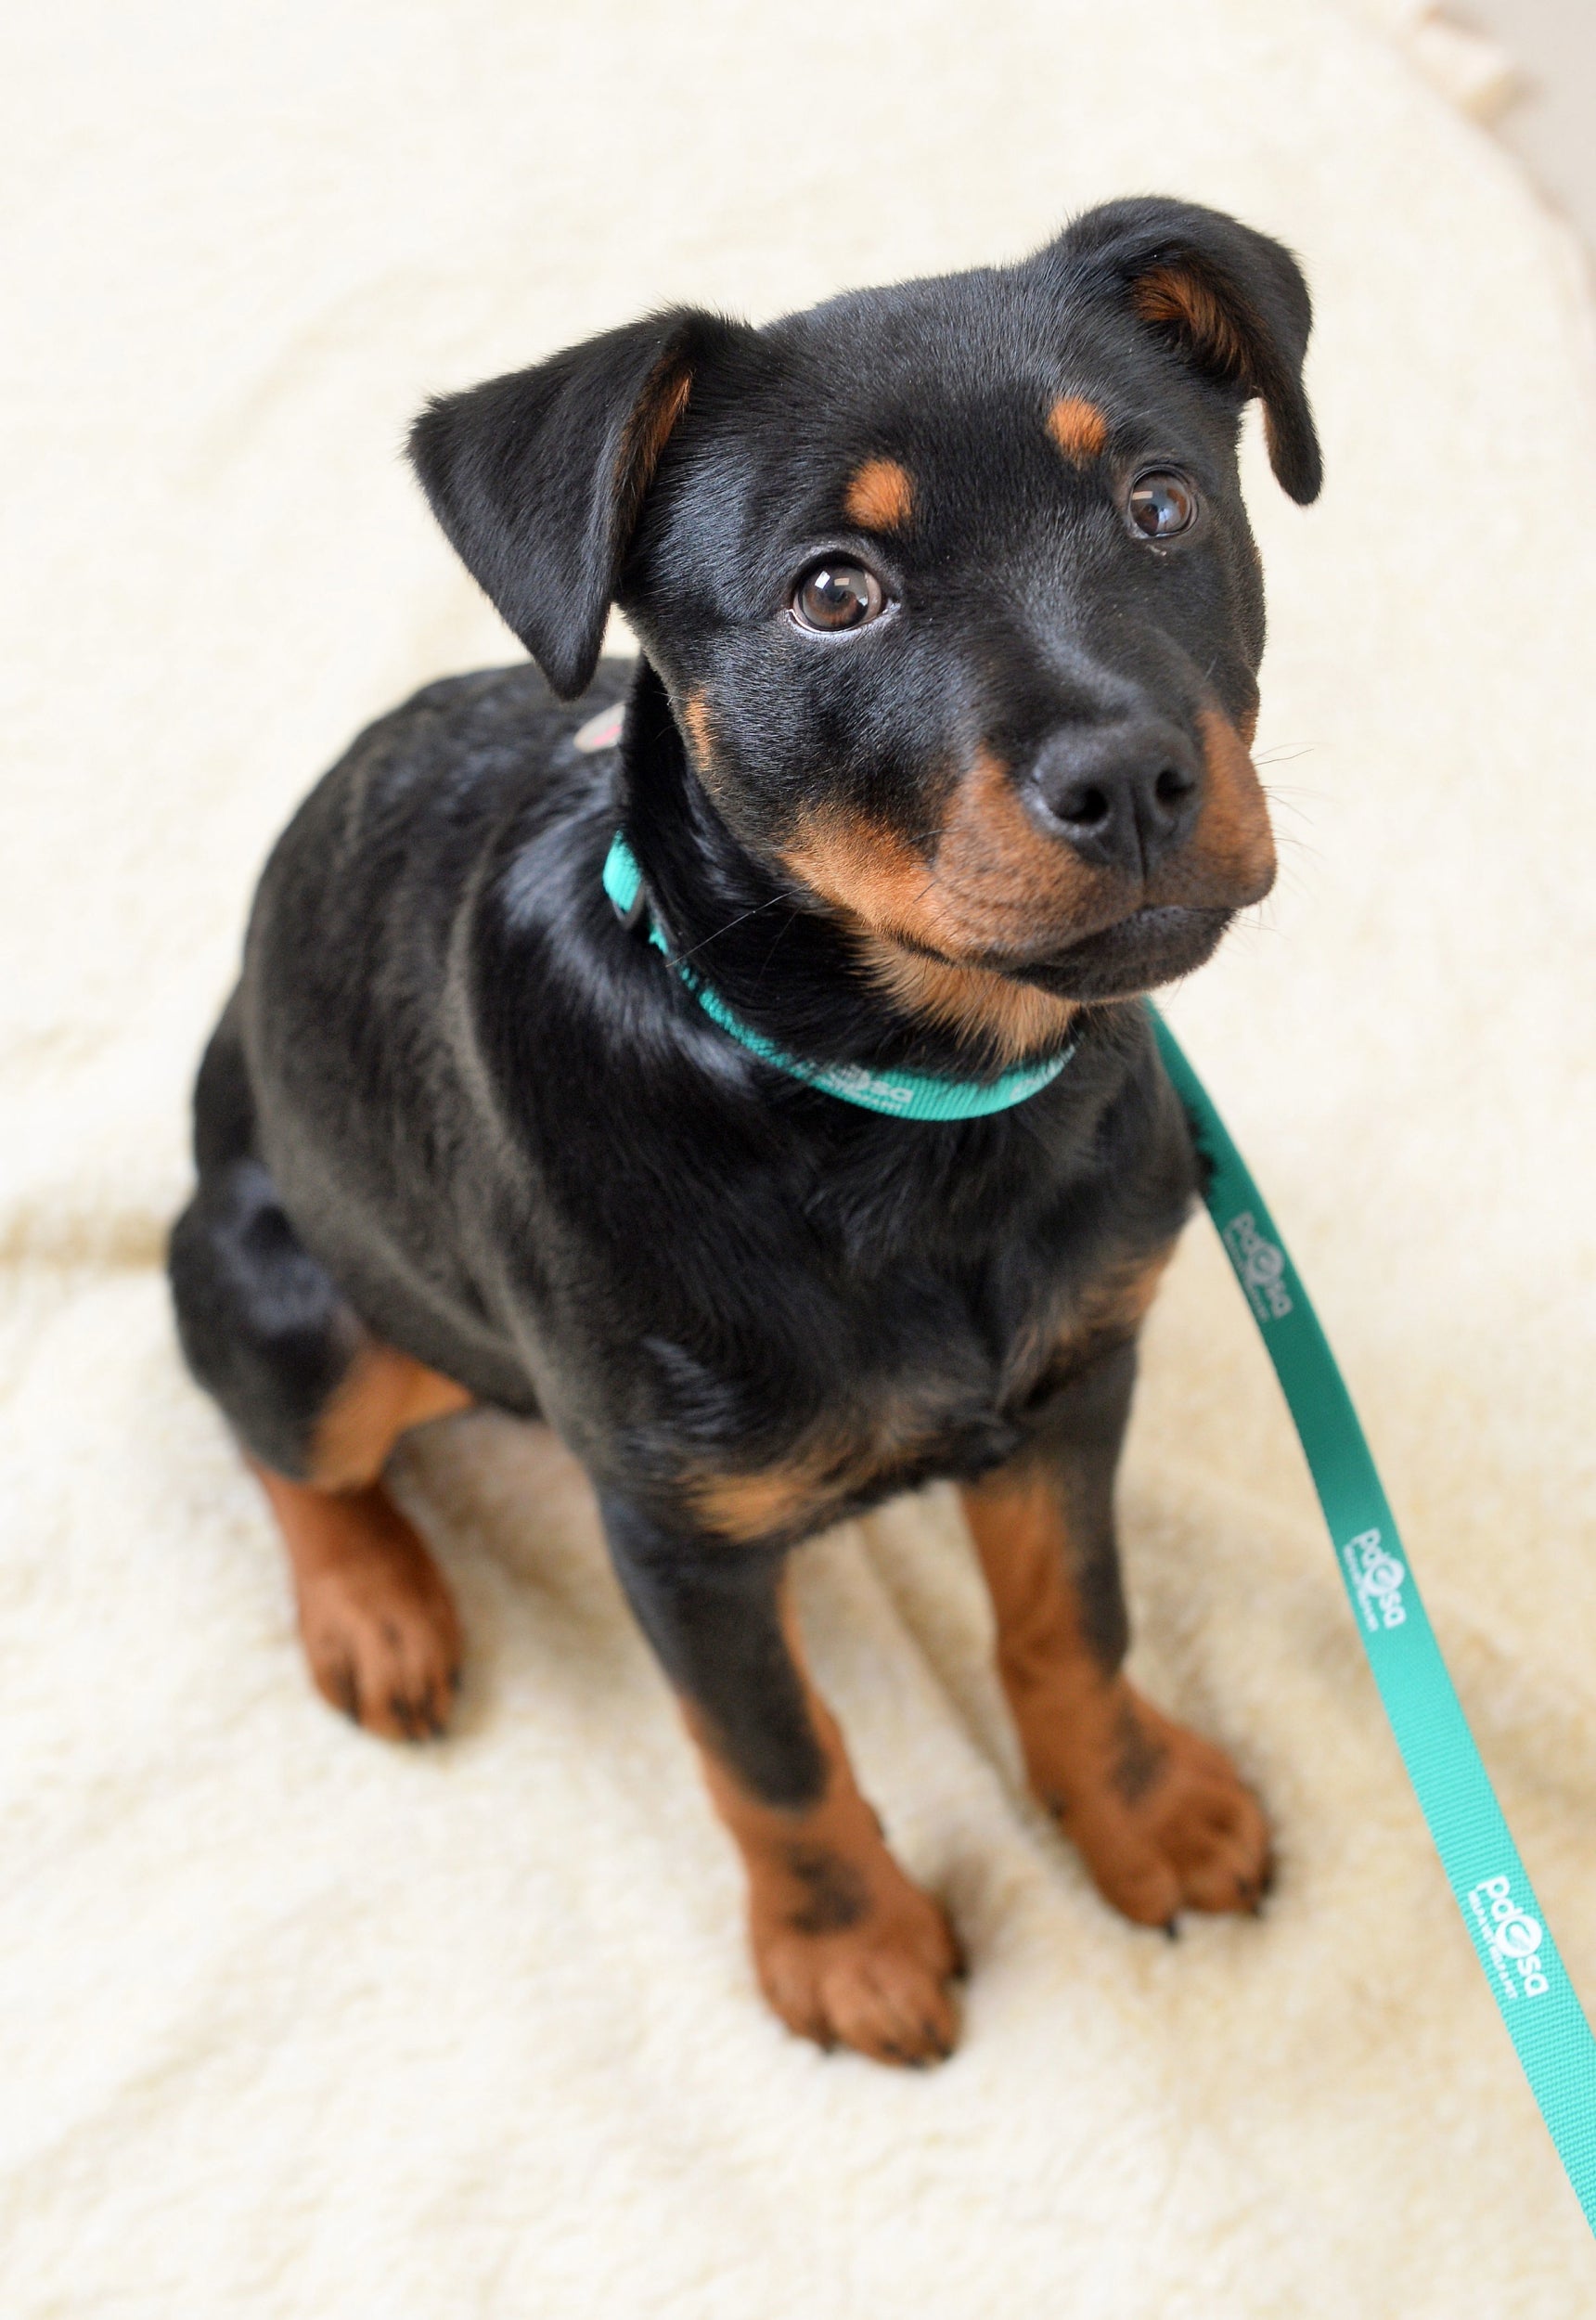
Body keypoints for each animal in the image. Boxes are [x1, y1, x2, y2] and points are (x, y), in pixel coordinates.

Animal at [172, 200, 1318, 2069]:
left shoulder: (1076, 1381)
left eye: (1161, 504)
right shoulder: (679, 1533)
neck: (889, 1101)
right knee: (288, 1439)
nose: (1135, 780)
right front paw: (848, 1949)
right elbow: (771, 1753)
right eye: (834, 594)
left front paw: (1141, 1810)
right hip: (295, 1291)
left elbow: (1073, 1621)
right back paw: (377, 1610)